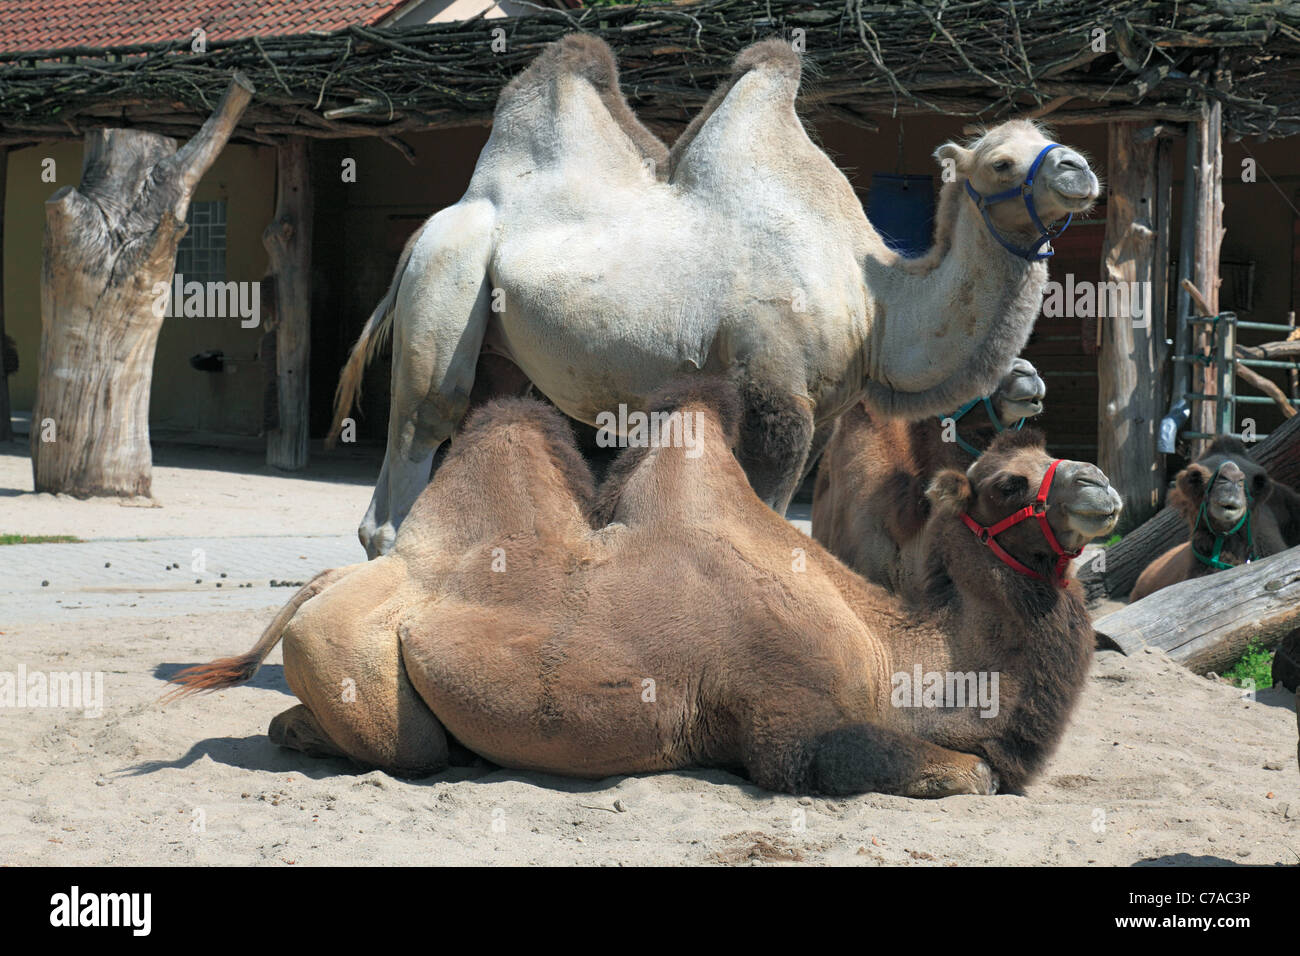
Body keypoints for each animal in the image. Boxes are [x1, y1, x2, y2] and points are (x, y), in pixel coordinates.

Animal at [167, 382, 1123, 801]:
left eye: (1049, 456)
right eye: (1006, 481)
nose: (1102, 486)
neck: (895, 653)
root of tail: (322, 583)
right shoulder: (789, 725)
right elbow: (970, 774)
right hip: (356, 664)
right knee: (401, 748)